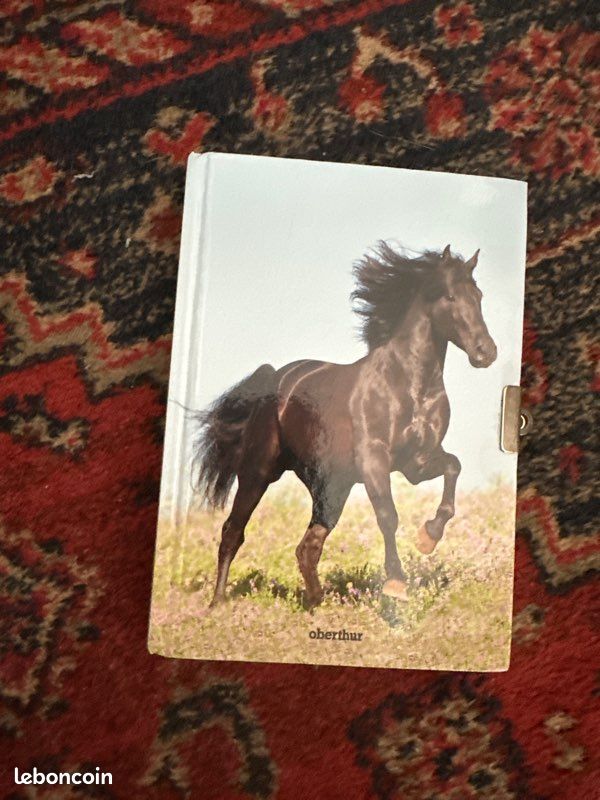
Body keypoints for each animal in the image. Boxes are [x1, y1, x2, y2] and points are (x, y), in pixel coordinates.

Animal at [193, 243, 497, 608]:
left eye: (478, 296)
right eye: (450, 296)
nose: (487, 352)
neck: (408, 386)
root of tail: (276, 379)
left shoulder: (417, 462)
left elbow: (453, 467)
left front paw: (428, 537)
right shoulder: (373, 459)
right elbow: (388, 516)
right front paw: (396, 583)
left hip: (332, 487)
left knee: (307, 547)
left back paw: (315, 602)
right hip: (258, 471)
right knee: (233, 532)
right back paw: (217, 604)